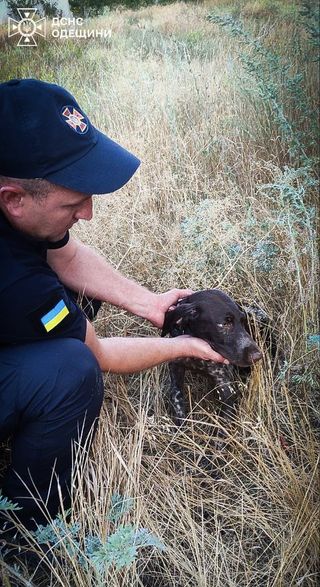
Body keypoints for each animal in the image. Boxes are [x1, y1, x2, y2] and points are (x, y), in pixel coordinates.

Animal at [162, 290, 264, 424]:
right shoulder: (176, 369)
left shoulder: (226, 387)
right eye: (225, 323)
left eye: (243, 321)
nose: (257, 356)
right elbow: (176, 398)